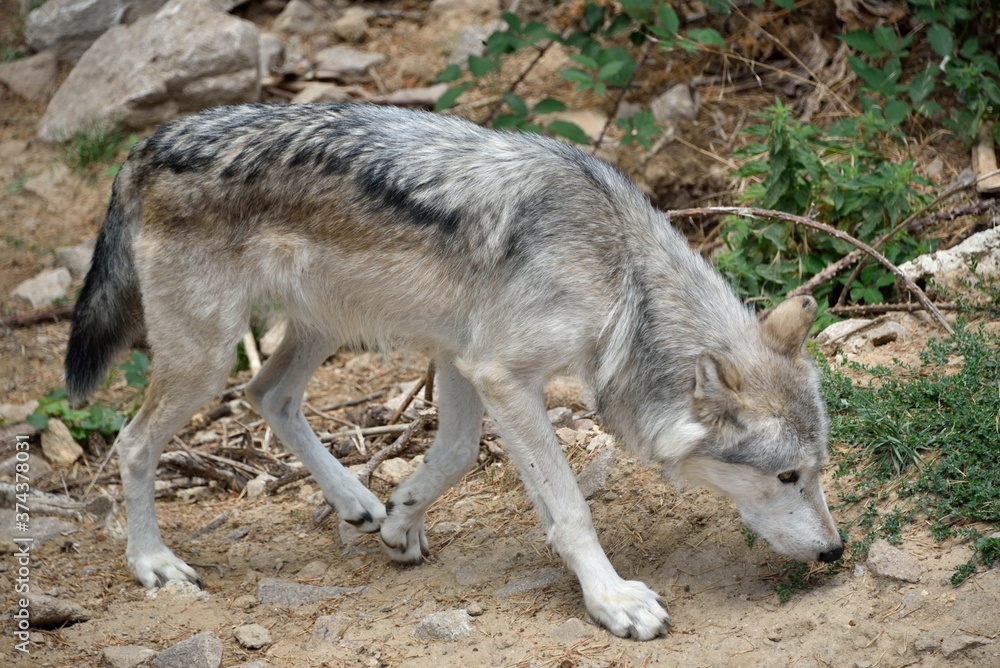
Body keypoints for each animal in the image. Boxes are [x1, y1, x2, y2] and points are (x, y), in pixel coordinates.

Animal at [66, 102, 843, 640]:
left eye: (819, 471)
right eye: (786, 477)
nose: (836, 551)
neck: (619, 274)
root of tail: (146, 146)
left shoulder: (462, 358)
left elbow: (459, 455)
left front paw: (401, 520)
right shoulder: (502, 374)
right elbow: (570, 508)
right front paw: (613, 600)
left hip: (323, 328)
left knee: (268, 394)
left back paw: (358, 501)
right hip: (207, 359)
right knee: (133, 443)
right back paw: (153, 563)